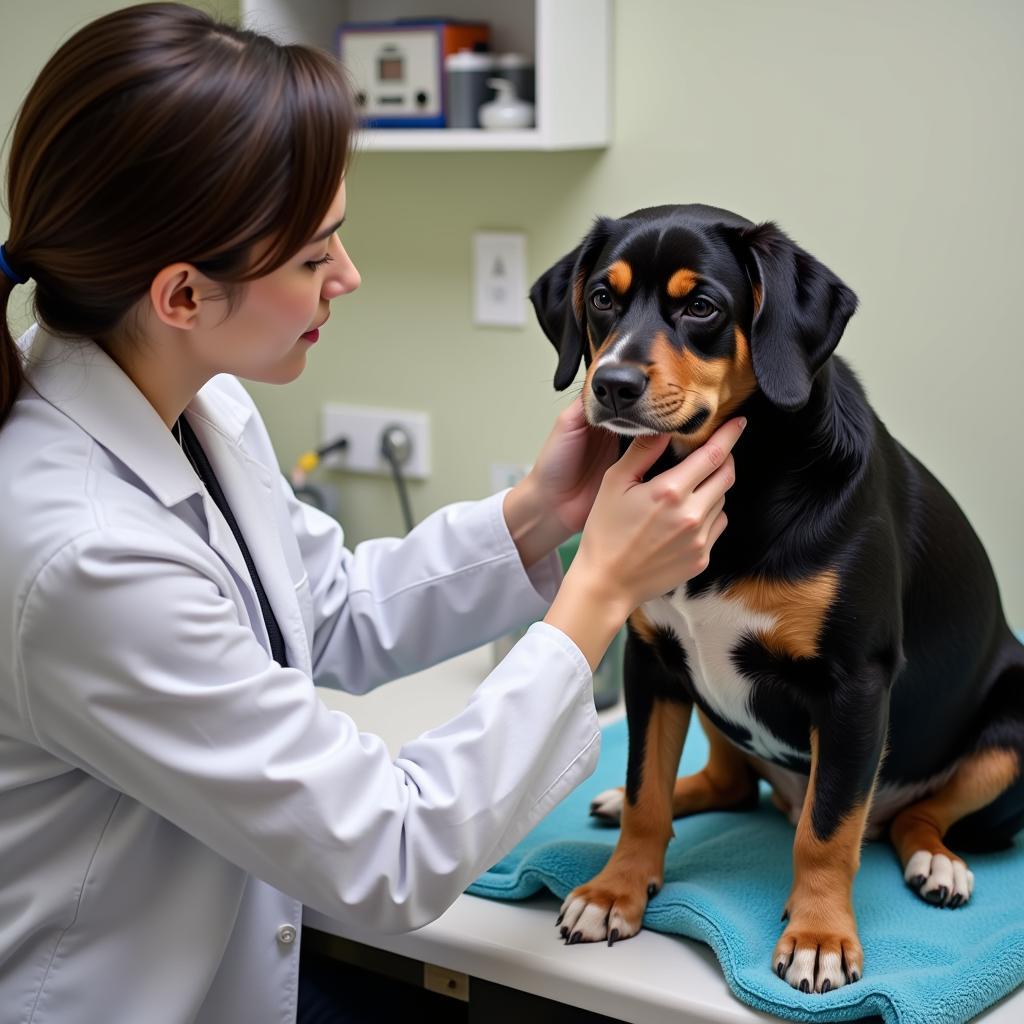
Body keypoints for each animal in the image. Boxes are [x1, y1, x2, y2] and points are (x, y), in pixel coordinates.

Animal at [528, 203, 1024, 995]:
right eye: (603, 297)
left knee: (907, 817)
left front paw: (819, 935)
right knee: (729, 784)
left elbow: (827, 831)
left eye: (701, 306)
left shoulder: (854, 685)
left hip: (1011, 729)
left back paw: (937, 863)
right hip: (705, 694)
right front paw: (616, 891)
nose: (611, 383)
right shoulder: (653, 662)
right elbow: (643, 792)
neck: (744, 484)